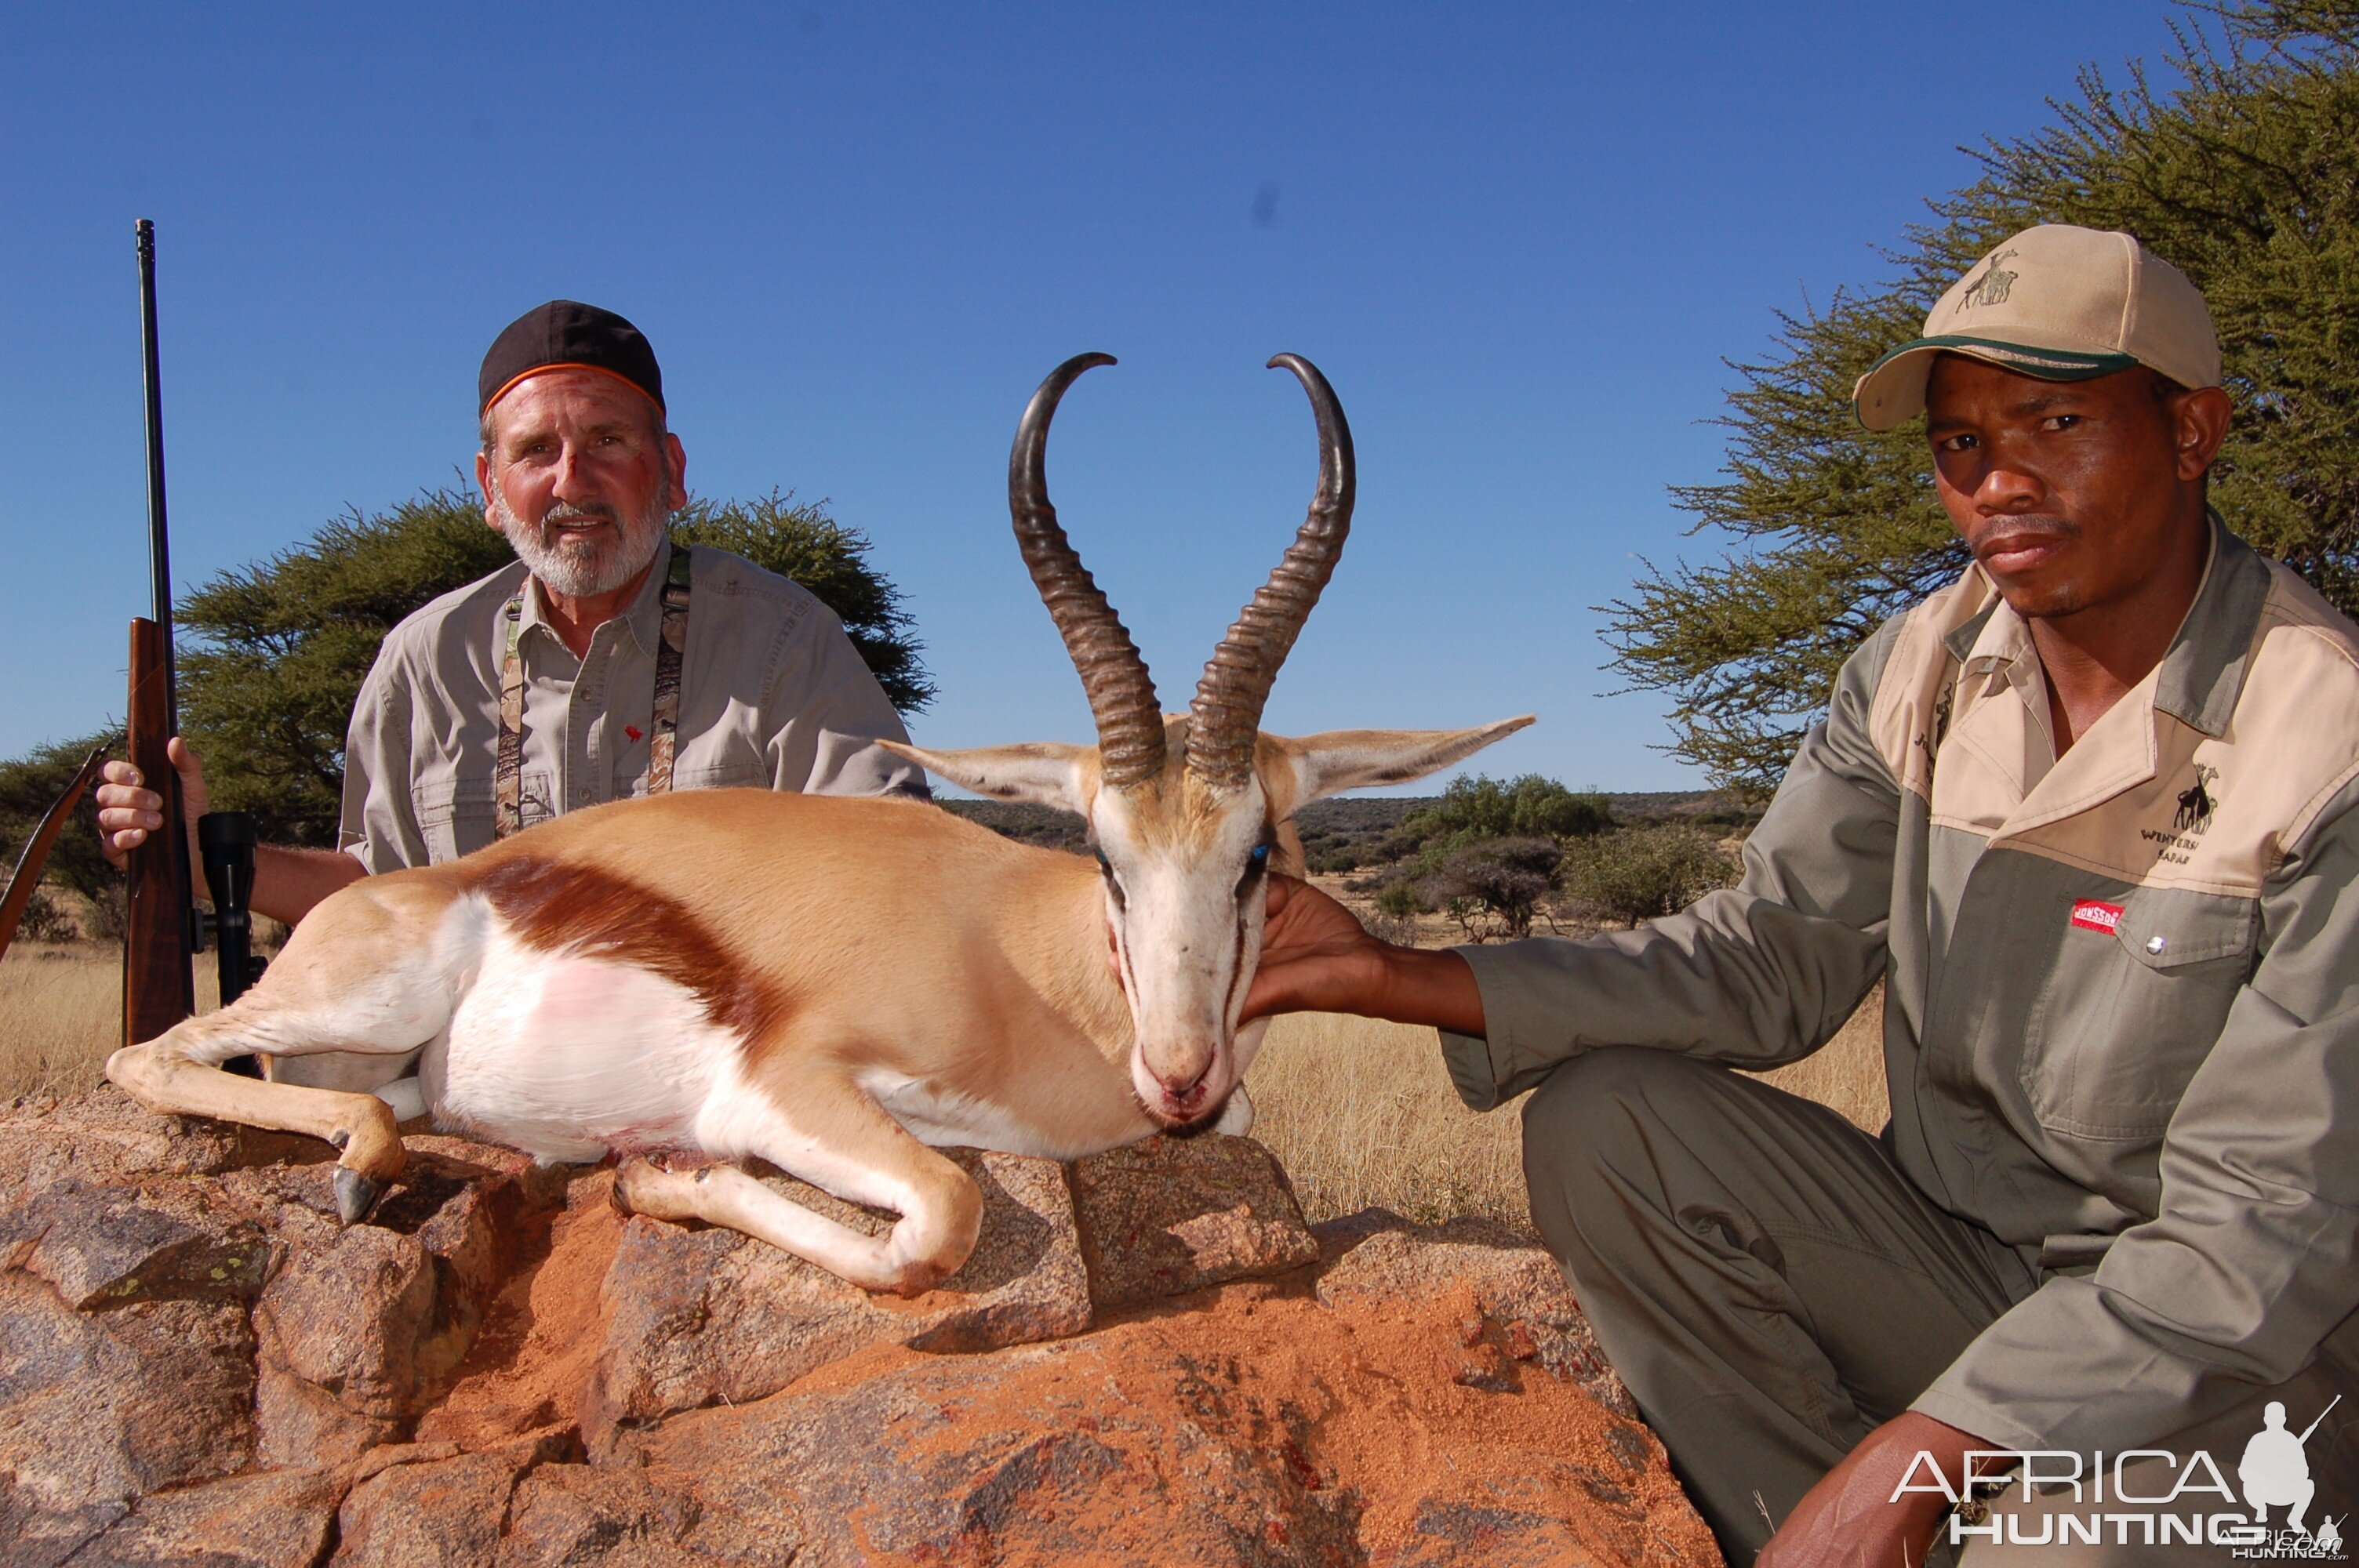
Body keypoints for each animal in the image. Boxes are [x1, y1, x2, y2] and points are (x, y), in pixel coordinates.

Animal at [114, 354, 1528, 1292]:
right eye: (1106, 860)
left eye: (1256, 860)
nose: (1178, 1077)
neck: (1024, 967)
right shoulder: (790, 1087)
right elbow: (941, 1222)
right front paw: (662, 1171)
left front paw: (652, 1172)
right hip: (361, 995)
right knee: (153, 1053)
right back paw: (367, 1165)